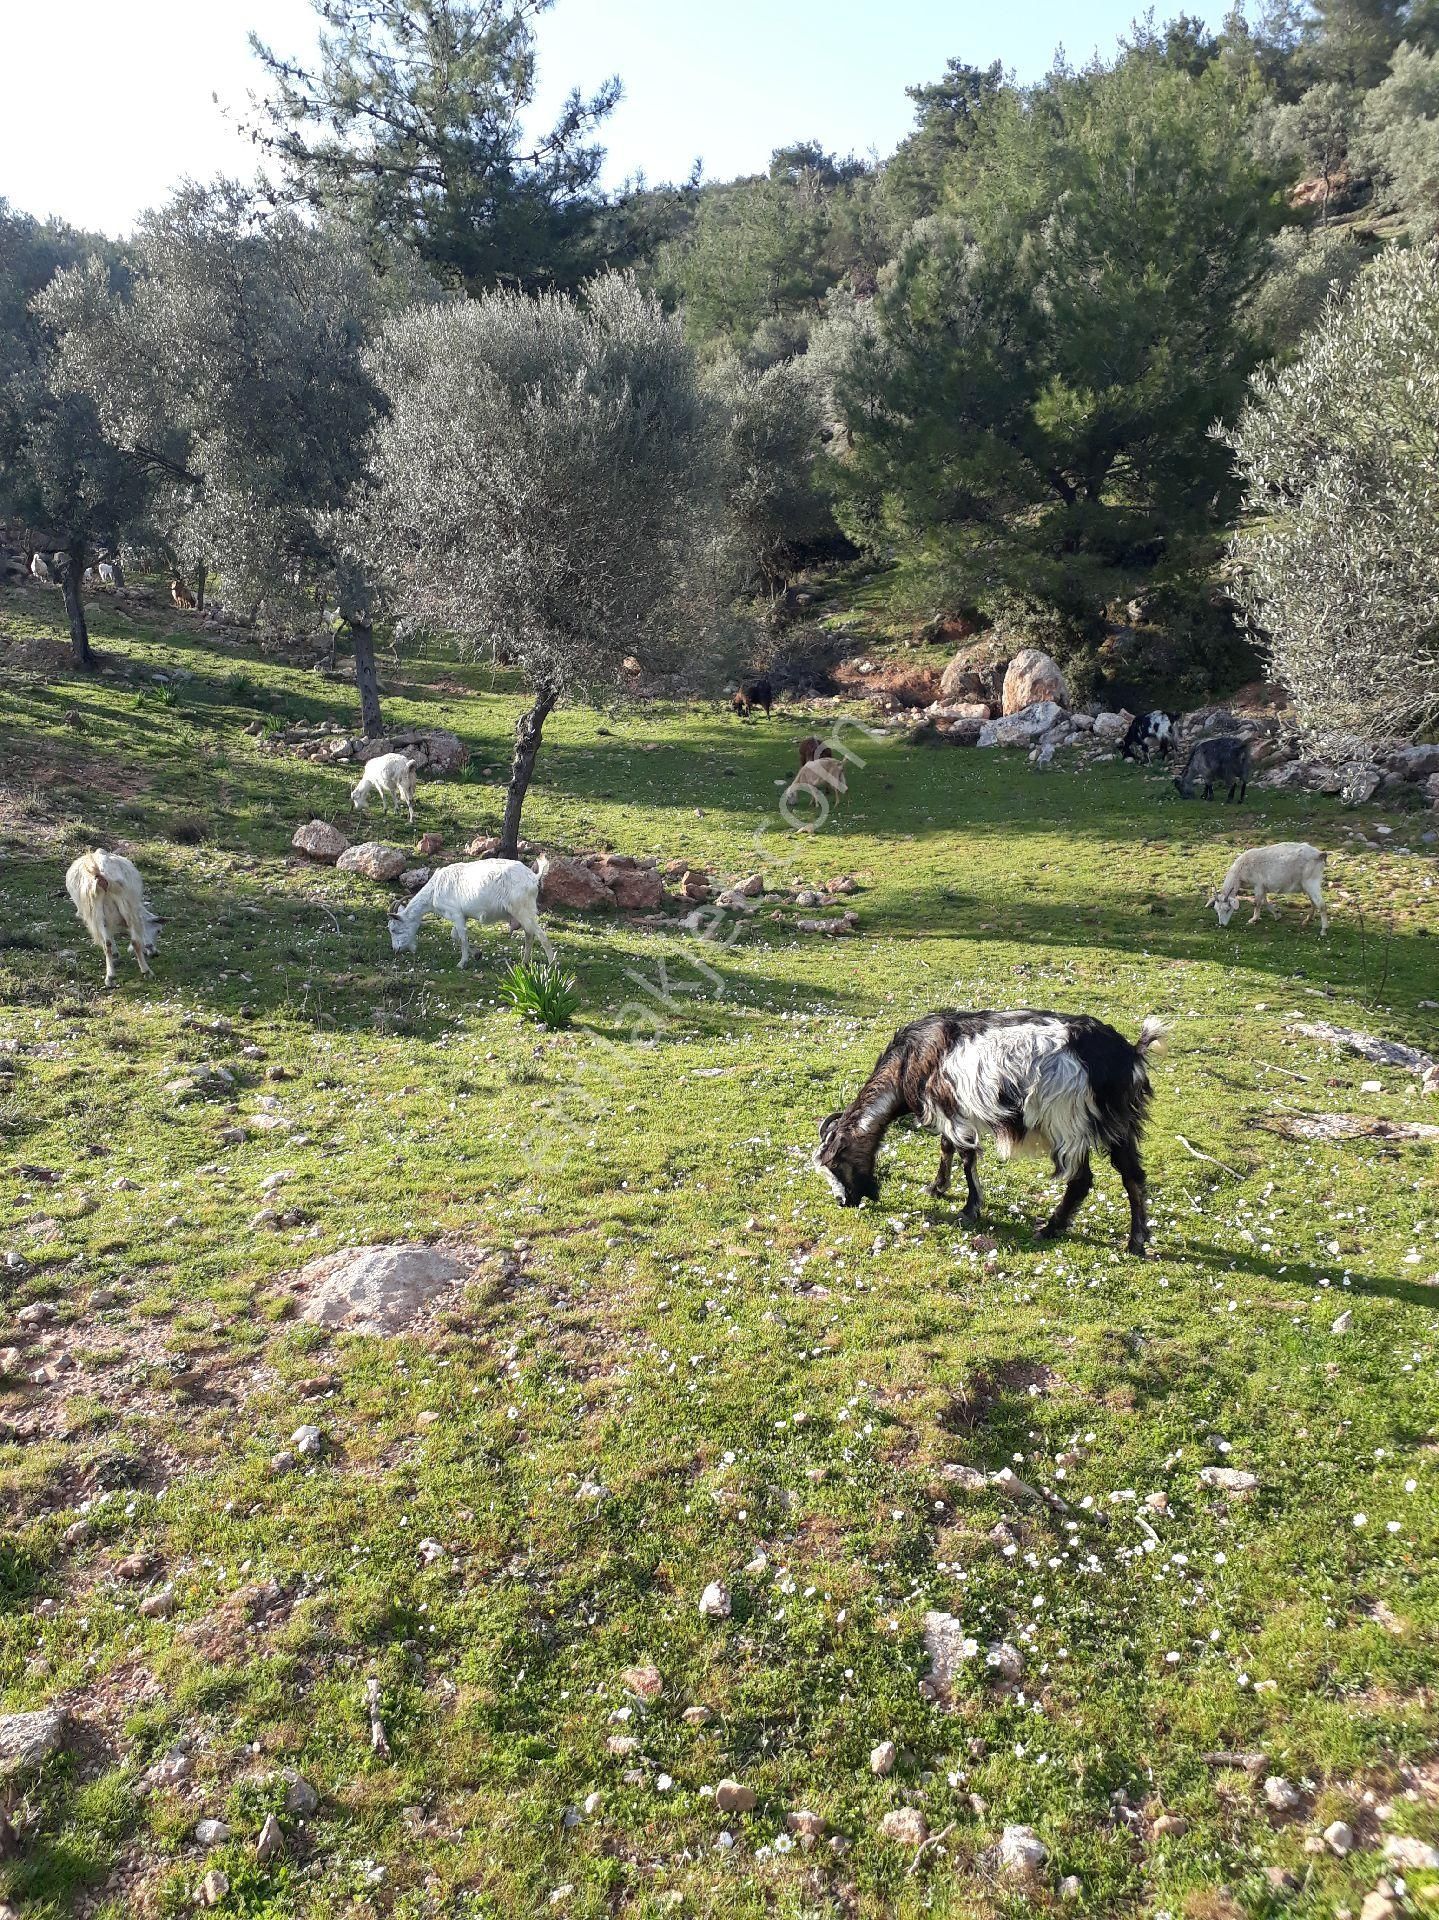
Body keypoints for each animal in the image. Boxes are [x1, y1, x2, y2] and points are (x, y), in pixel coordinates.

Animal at [65, 848, 159, 983]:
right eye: (158, 930)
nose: (155, 953)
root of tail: (100, 871)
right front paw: (115, 956)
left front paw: (115, 956)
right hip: (121, 906)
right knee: (127, 942)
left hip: (102, 911)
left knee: (110, 942)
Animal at [388, 860, 557, 967]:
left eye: (394, 929)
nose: (396, 950)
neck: (434, 890)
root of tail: (533, 877)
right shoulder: (462, 915)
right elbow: (455, 935)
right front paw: (477, 954)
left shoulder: (455, 914)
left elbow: (462, 938)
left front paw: (462, 963)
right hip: (521, 912)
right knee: (529, 934)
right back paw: (524, 962)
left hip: (522, 909)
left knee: (541, 935)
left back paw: (552, 965)